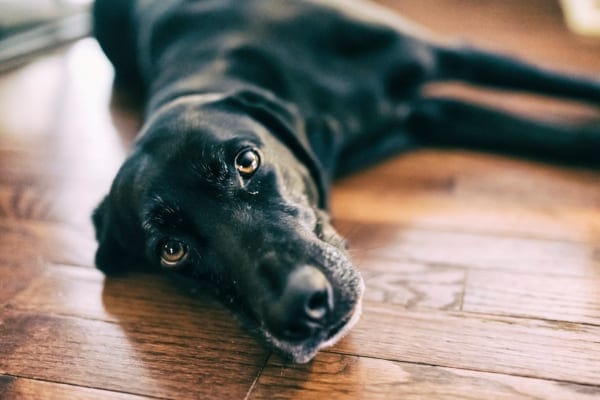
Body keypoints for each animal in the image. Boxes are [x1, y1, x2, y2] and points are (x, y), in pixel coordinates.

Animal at [92, 0, 600, 362]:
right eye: (171, 251)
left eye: (248, 161)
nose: (300, 308)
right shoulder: (430, 117)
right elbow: (562, 135)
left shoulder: (450, 55)